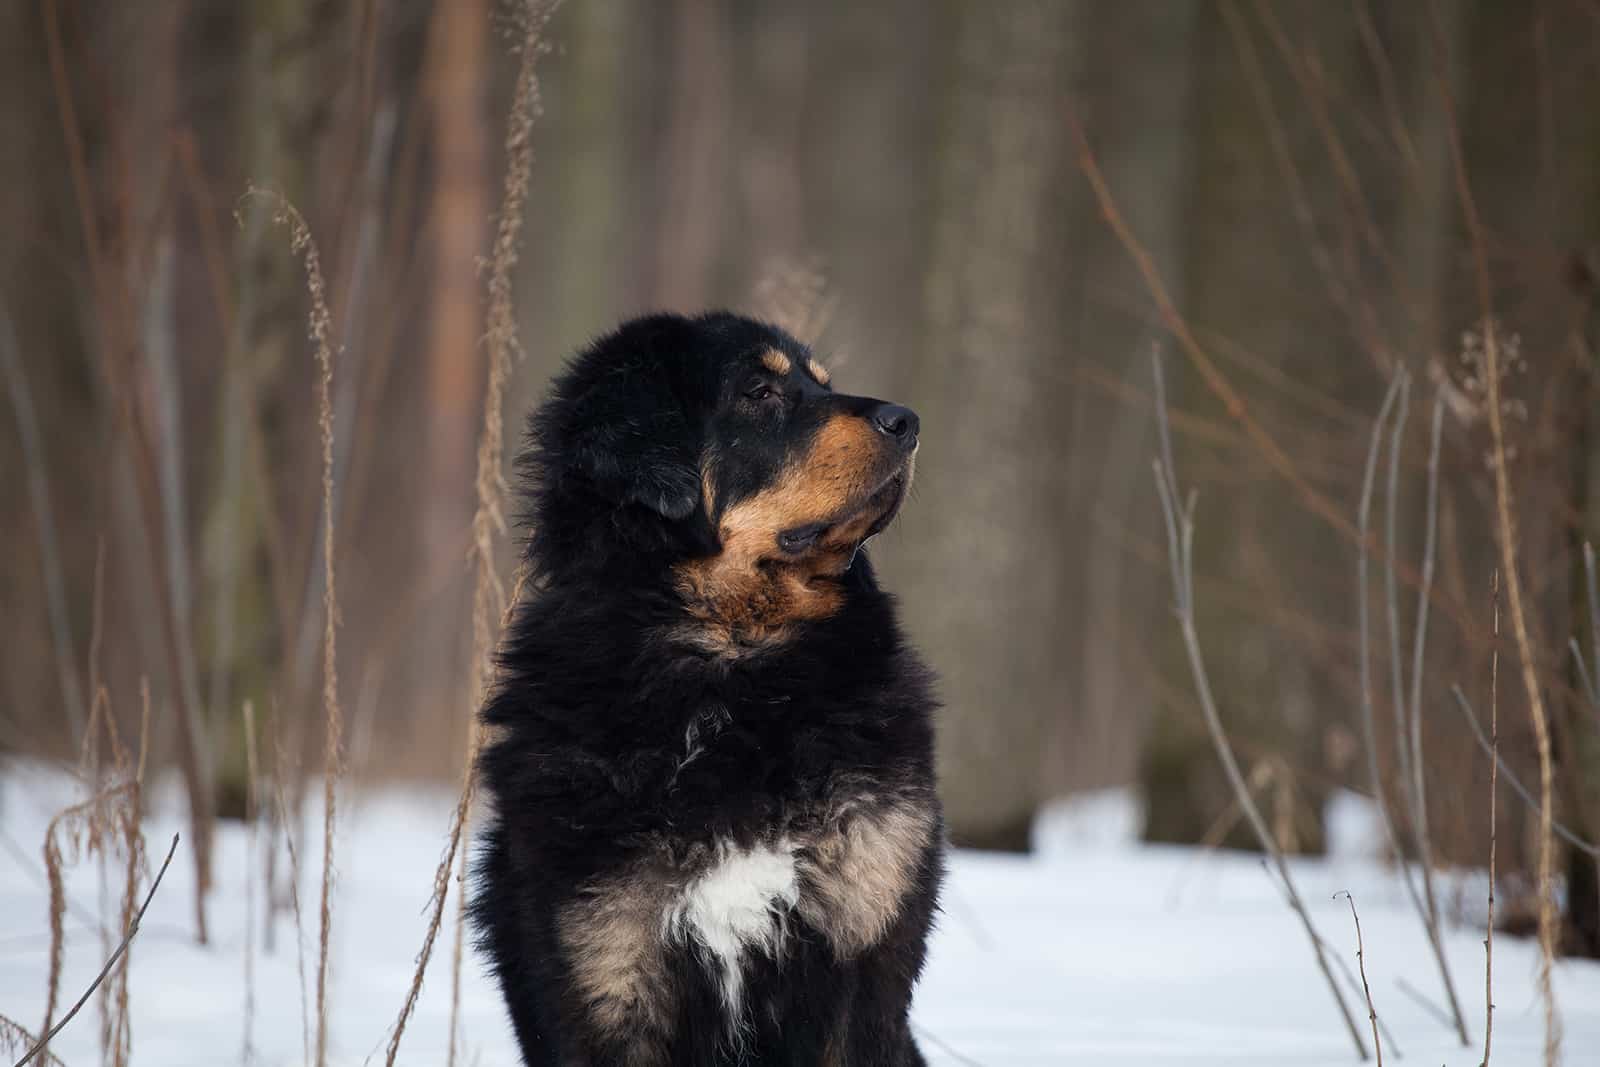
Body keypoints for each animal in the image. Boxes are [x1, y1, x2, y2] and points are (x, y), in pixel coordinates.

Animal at [467, 313, 940, 1062]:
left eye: (819, 382)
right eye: (759, 391)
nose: (908, 420)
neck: (733, 669)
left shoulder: (864, 947)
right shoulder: (605, 972)